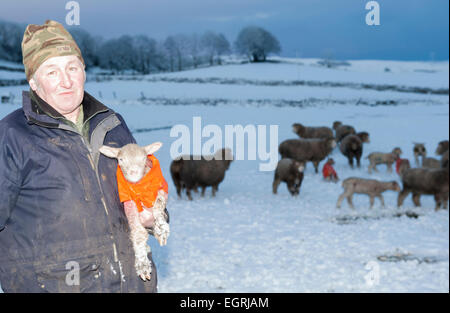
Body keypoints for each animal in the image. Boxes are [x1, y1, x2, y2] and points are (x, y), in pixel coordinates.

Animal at [99, 141, 170, 280]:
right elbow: (138, 233)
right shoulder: (129, 204)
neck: (139, 189)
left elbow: (158, 205)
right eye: (121, 159)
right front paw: (142, 264)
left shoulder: (159, 190)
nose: (133, 172)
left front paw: (161, 228)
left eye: (143, 158)